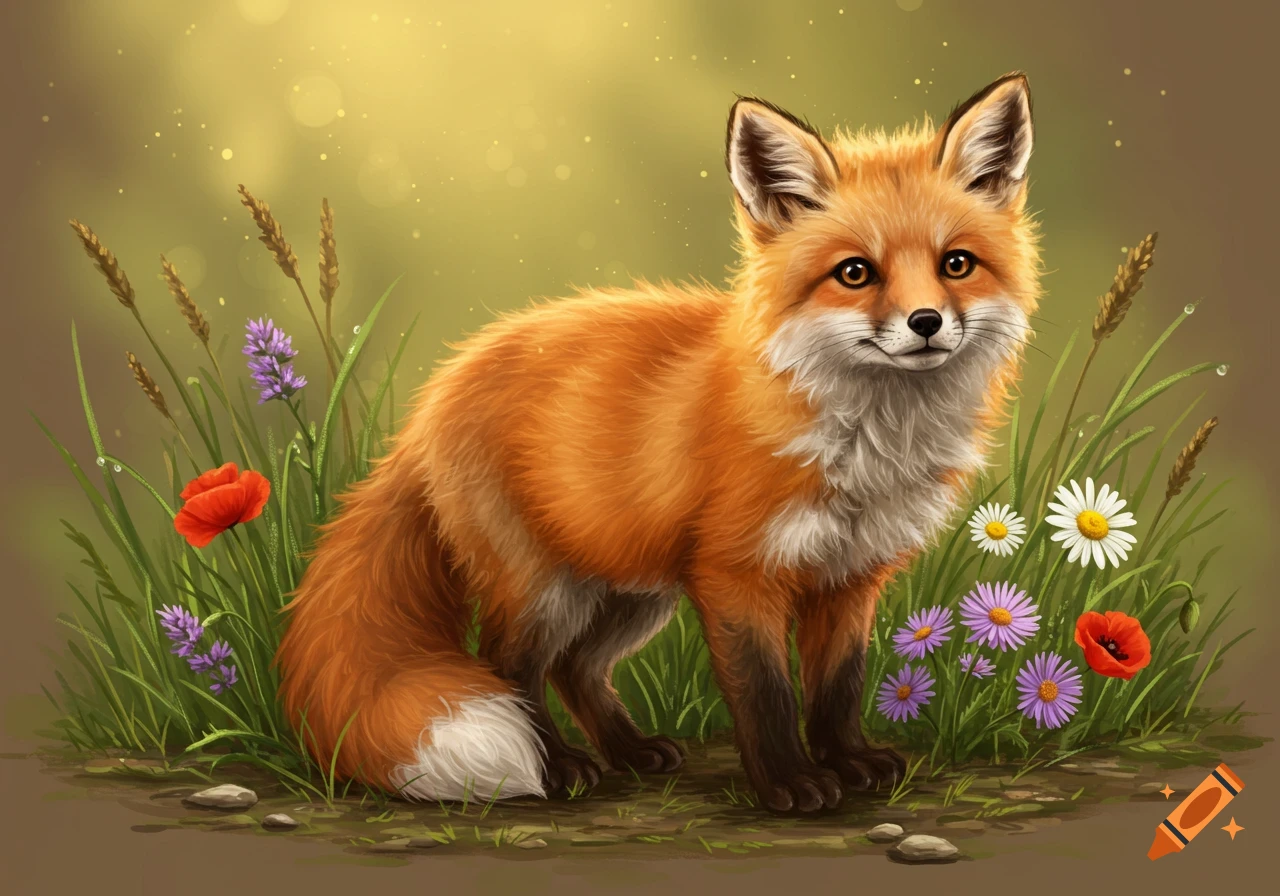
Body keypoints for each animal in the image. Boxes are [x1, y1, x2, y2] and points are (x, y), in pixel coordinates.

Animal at [275, 72, 1041, 814]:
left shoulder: (850, 576)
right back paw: (559, 766)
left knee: (576, 666)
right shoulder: (735, 573)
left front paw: (849, 760)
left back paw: (630, 750)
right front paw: (788, 785)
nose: (926, 322)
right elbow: (767, 693)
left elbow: (837, 688)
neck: (866, 444)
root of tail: (434, 393)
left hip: (630, 589)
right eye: (855, 273)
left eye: (957, 264)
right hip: (540, 588)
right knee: (510, 665)